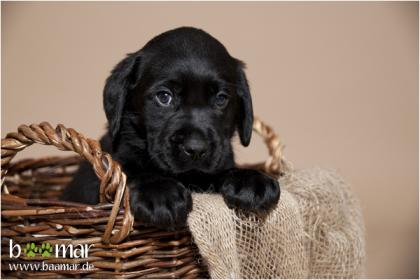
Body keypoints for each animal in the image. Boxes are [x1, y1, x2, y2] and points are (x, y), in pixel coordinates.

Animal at [61, 26, 278, 230]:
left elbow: (220, 171)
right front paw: (159, 193)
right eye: (164, 97)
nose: (196, 148)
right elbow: (130, 171)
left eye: (221, 99)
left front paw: (251, 179)